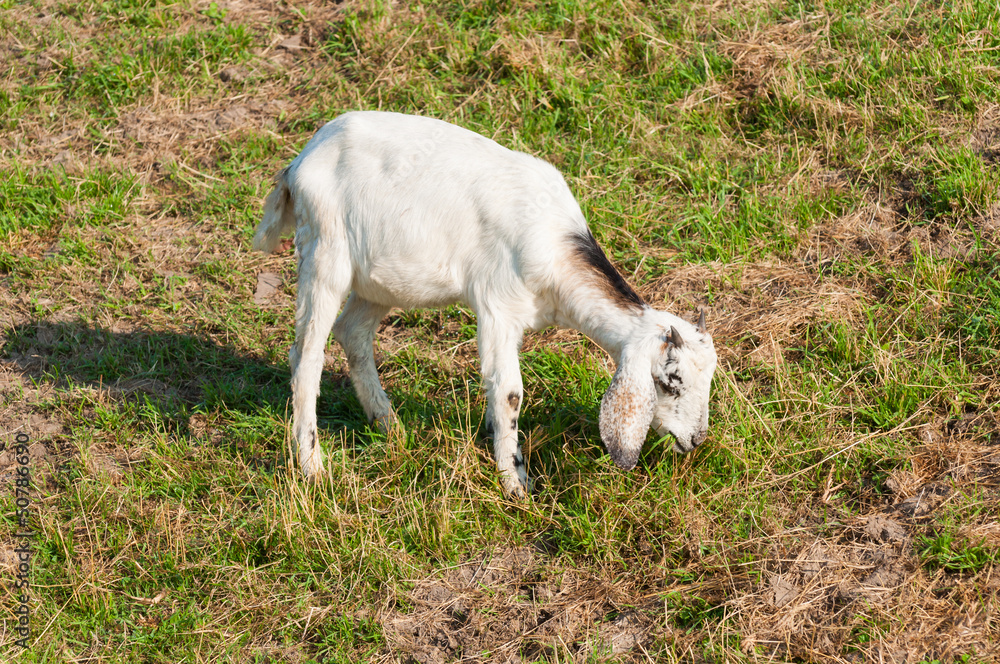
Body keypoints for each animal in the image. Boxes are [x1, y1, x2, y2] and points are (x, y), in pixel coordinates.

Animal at [253, 111, 718, 497]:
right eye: (670, 381)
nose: (697, 440)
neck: (556, 252)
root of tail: (301, 160)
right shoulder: (497, 307)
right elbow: (510, 392)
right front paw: (516, 482)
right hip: (325, 252)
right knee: (307, 356)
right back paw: (312, 466)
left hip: (379, 279)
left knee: (352, 332)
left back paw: (391, 427)